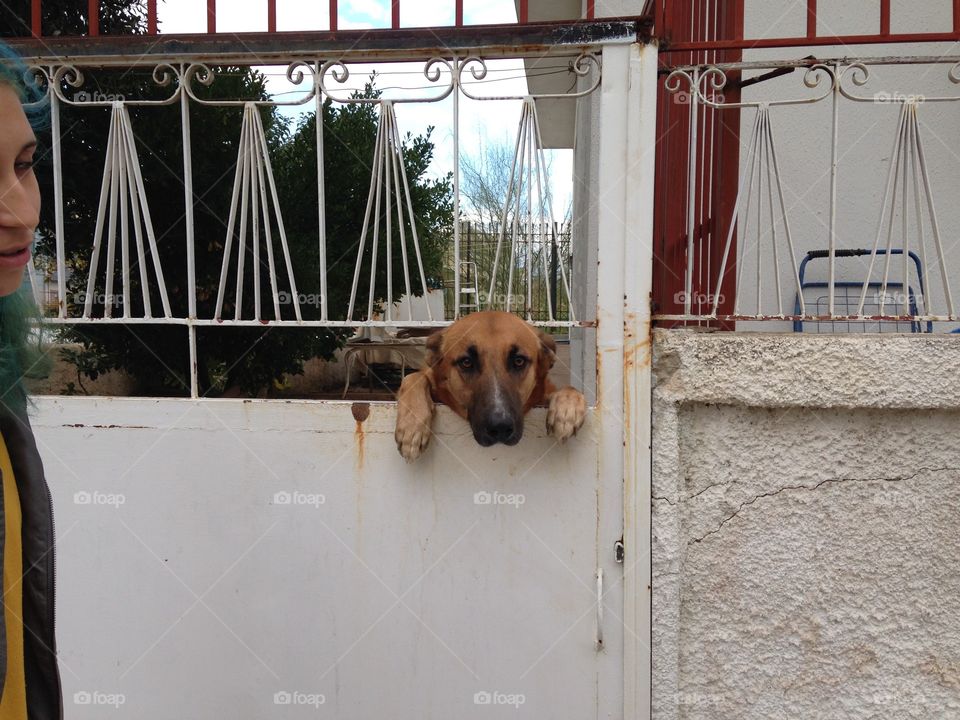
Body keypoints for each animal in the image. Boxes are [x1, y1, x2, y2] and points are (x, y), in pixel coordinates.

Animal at [394, 314, 588, 462]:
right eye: (466, 362)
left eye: (519, 361)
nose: (500, 427)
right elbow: (413, 377)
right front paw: (411, 428)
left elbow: (570, 389)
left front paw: (566, 412)